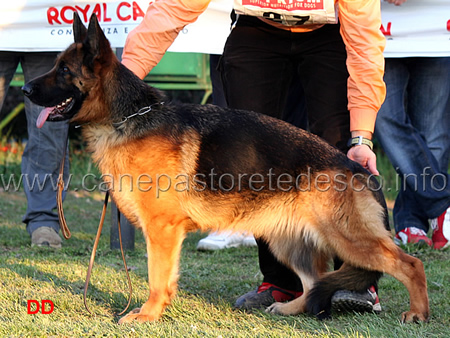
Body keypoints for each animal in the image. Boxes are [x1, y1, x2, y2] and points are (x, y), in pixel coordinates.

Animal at [22, 13, 428, 324]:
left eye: (63, 70)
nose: (25, 90)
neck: (128, 119)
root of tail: (360, 170)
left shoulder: (161, 230)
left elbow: (156, 278)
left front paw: (147, 315)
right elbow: (163, 278)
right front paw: (156, 312)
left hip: (347, 238)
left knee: (410, 264)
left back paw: (417, 313)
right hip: (288, 241)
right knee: (316, 281)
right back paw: (289, 308)